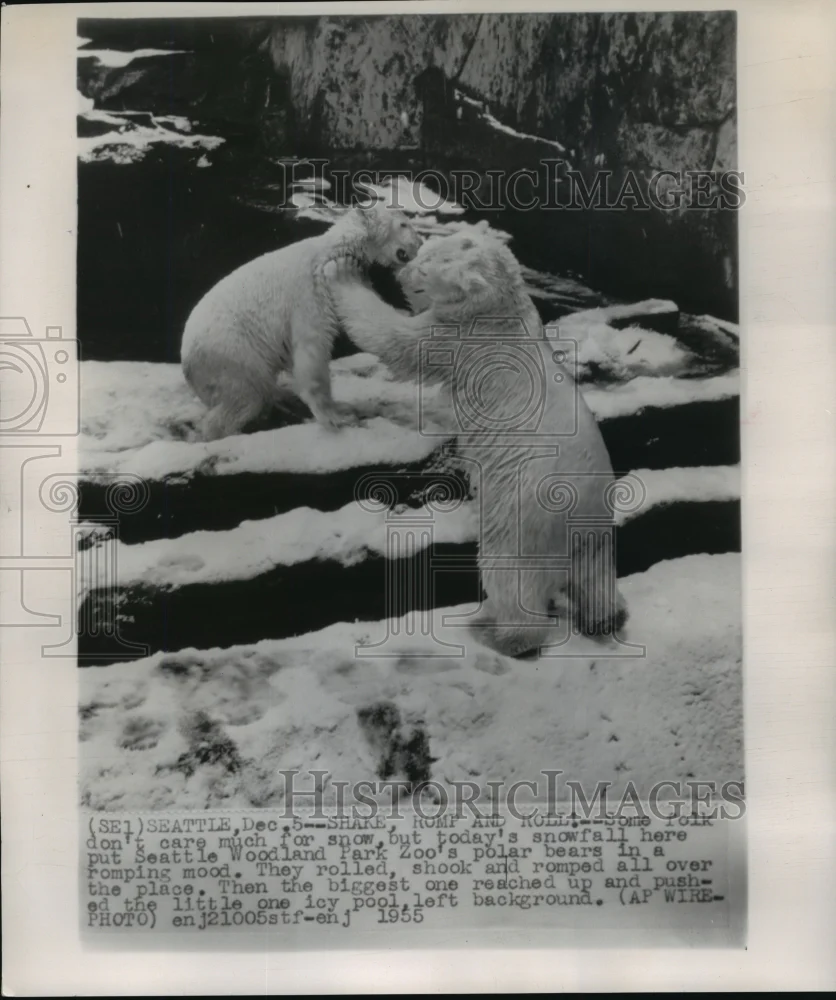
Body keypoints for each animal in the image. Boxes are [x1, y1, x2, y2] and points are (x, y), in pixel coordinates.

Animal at [180, 202, 422, 440]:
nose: (420, 243)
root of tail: (186, 358)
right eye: (404, 224)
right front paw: (334, 417)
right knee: (246, 396)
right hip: (233, 353)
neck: (334, 251)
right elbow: (312, 347)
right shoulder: (309, 293)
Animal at [324, 229, 628, 657]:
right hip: (597, 533)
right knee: (596, 576)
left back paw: (499, 633)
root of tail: (582, 516)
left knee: (510, 576)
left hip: (524, 517)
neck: (499, 310)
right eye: (423, 252)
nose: (402, 270)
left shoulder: (458, 339)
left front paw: (343, 272)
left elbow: (393, 337)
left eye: (425, 266)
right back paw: (606, 616)